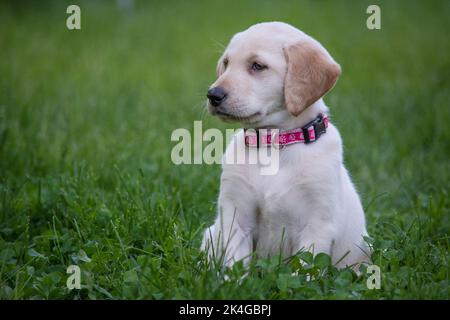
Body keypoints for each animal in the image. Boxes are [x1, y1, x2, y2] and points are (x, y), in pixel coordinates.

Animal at [201, 21, 370, 268]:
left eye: (257, 66)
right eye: (226, 63)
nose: (213, 94)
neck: (273, 143)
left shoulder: (317, 225)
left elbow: (306, 270)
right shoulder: (236, 217)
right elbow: (234, 266)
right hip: (212, 234)